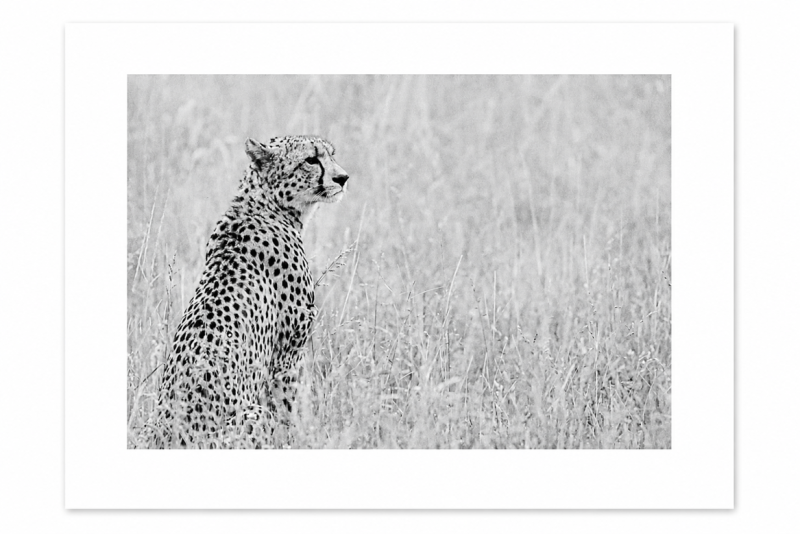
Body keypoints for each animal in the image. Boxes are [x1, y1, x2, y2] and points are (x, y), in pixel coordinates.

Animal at [140, 135, 349, 448]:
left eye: (331, 155)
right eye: (311, 160)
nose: (343, 178)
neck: (266, 205)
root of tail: (168, 438)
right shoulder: (287, 354)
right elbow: (286, 409)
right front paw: (295, 440)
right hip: (251, 415)